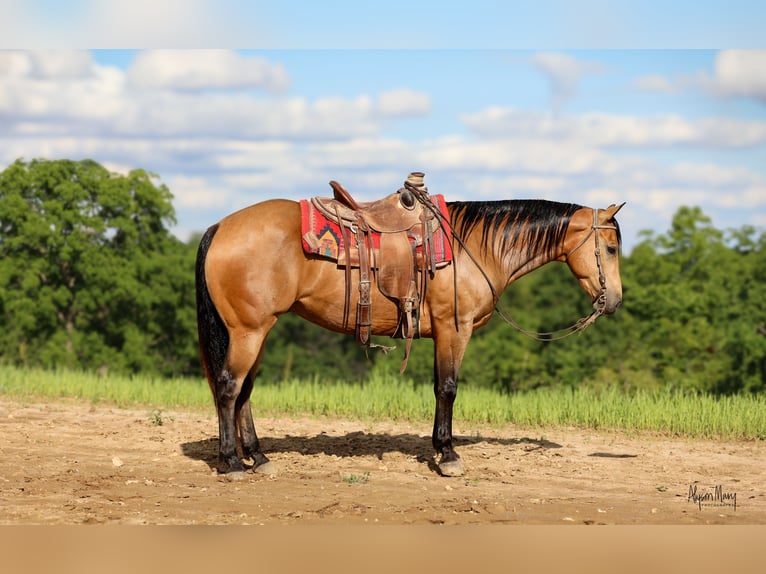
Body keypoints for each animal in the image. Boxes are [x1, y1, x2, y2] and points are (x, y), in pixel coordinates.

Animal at [194, 173, 624, 480]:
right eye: (611, 248)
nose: (615, 301)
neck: (474, 247)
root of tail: (220, 226)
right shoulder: (454, 329)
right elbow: (447, 388)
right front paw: (448, 455)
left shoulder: (442, 334)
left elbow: (439, 388)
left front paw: (439, 448)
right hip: (248, 331)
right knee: (229, 388)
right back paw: (232, 463)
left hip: (258, 332)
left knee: (244, 392)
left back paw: (259, 458)